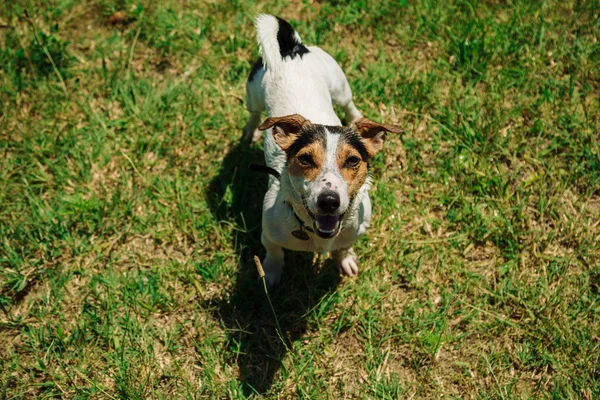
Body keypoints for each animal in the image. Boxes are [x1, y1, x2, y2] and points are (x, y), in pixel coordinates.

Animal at [244, 14, 404, 284]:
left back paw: (357, 117)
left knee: (349, 104)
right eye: (305, 159)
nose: (328, 201)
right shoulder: (269, 235)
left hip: (340, 86)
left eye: (353, 161)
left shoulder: (356, 231)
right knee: (255, 114)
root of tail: (291, 50)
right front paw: (271, 274)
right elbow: (275, 254)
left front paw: (345, 260)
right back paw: (250, 131)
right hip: (252, 94)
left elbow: (345, 247)